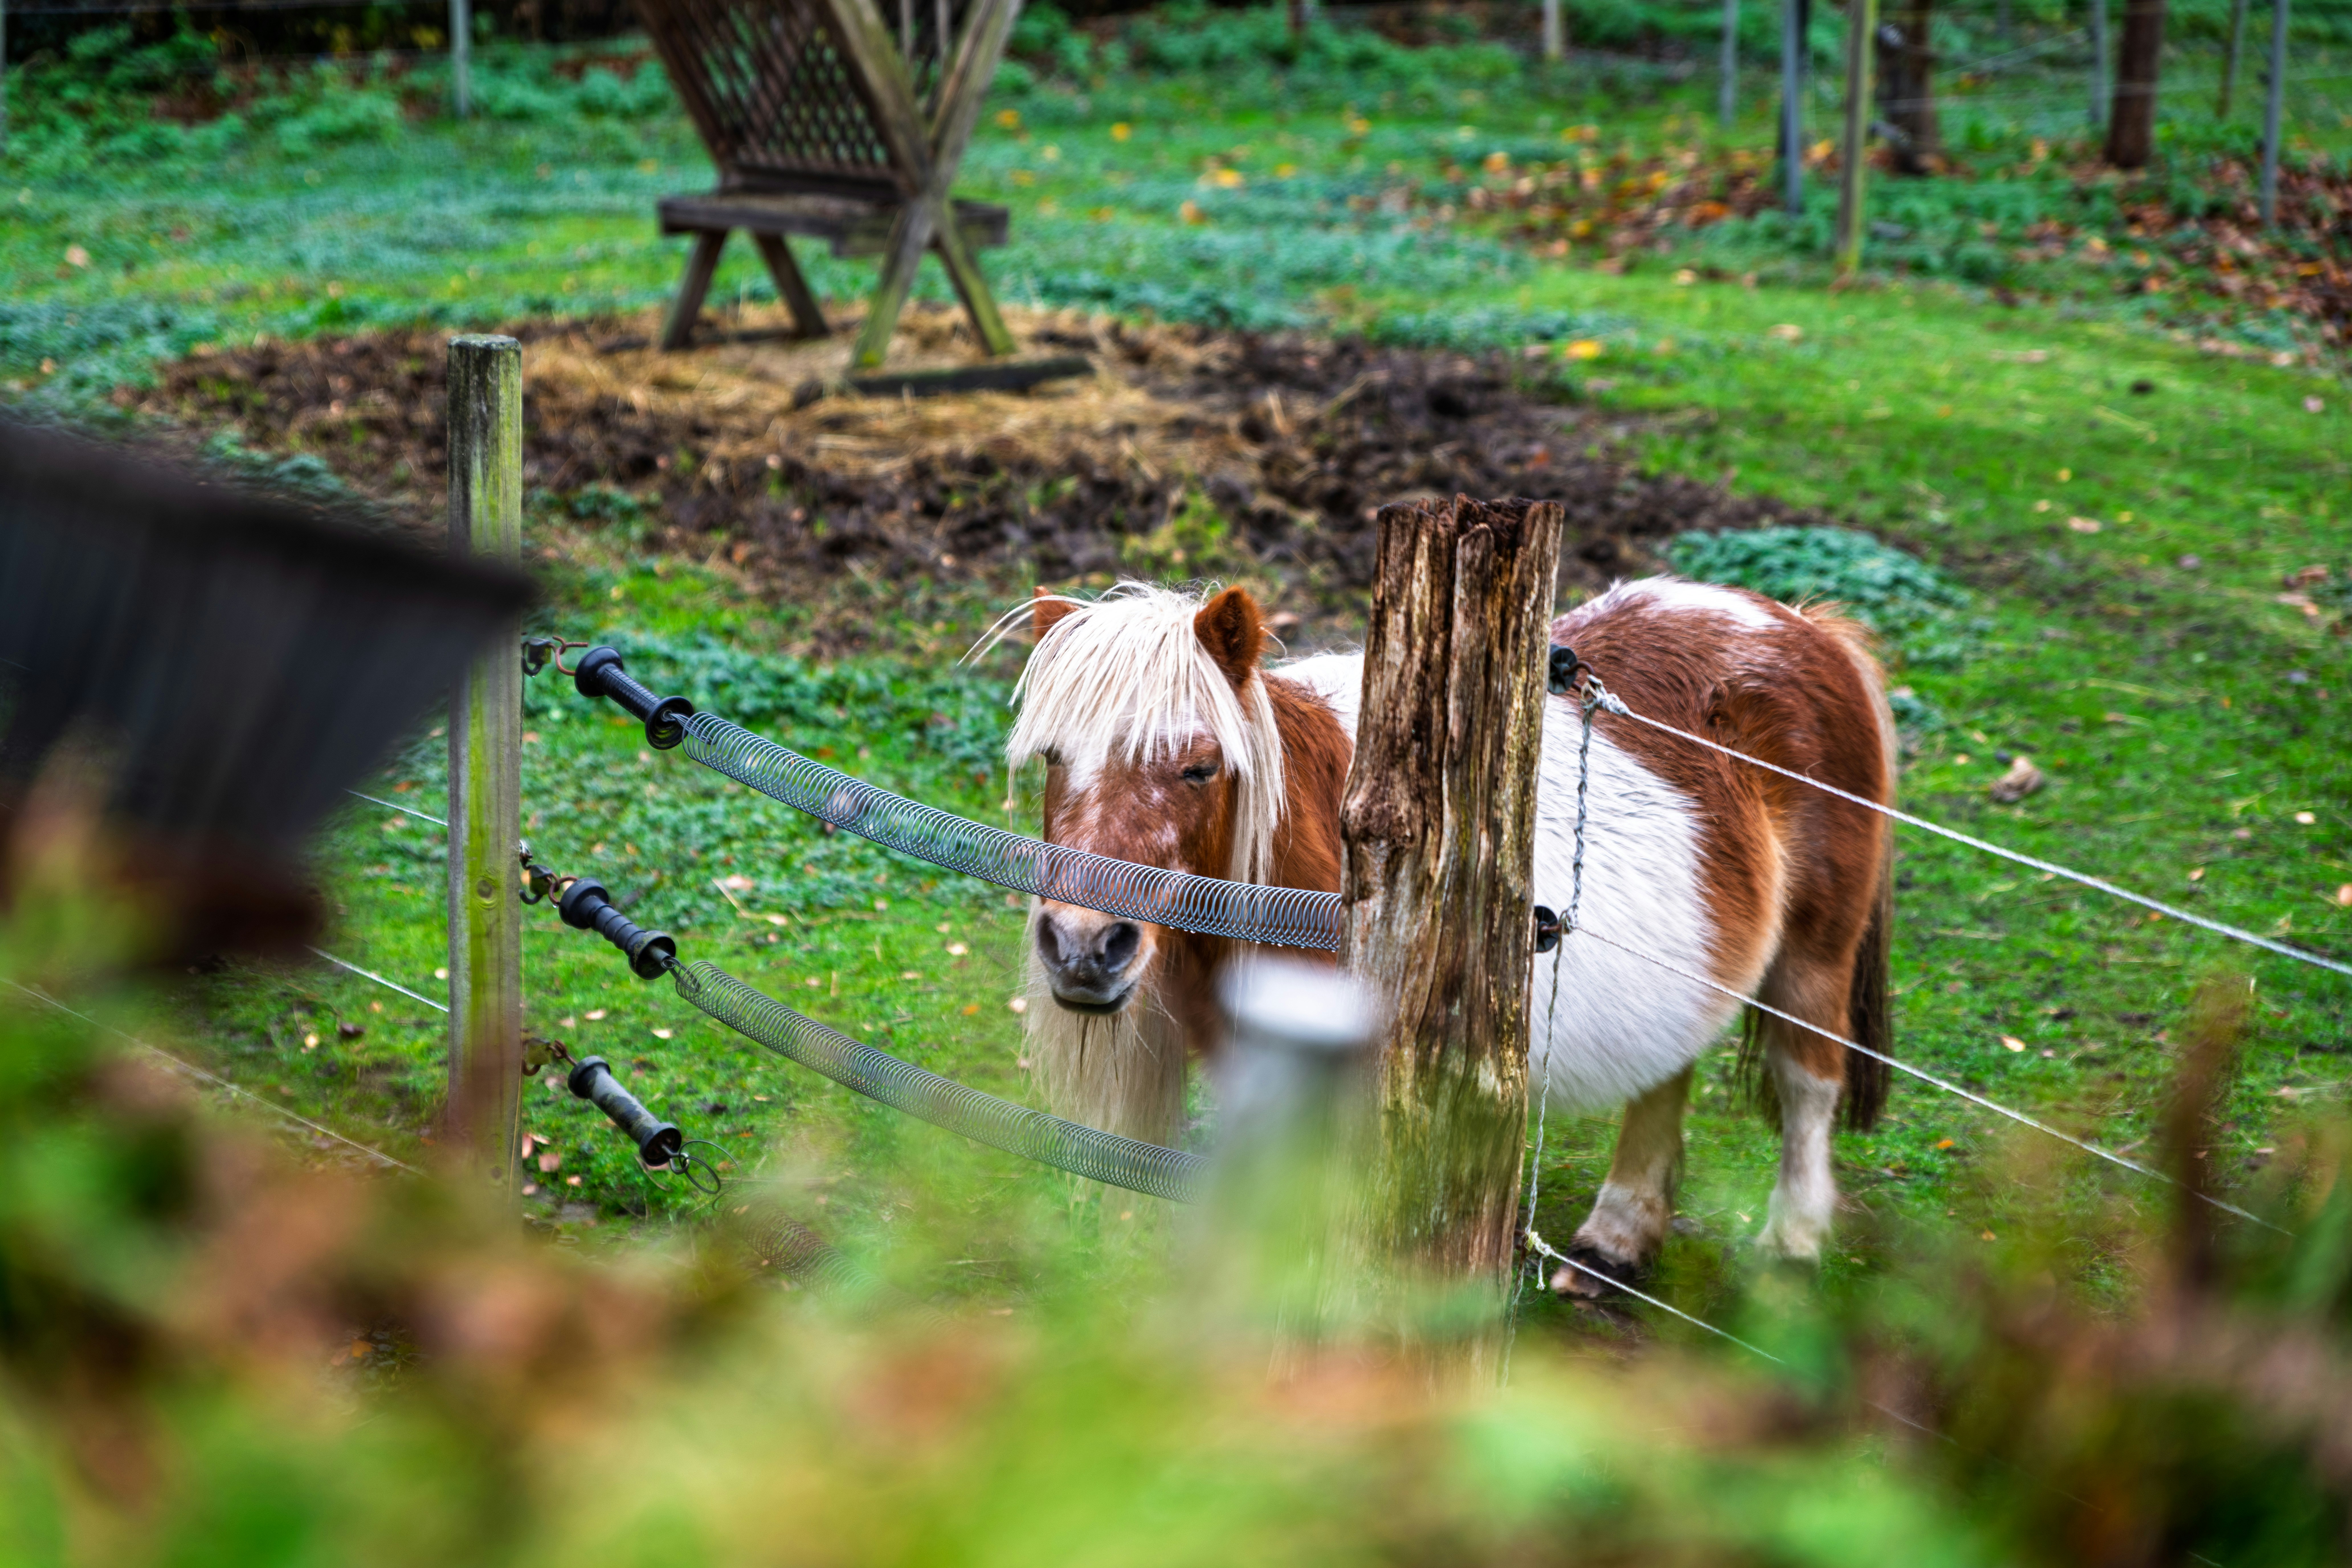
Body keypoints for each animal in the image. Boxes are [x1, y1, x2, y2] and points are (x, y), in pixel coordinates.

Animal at [995, 577, 1895, 1286]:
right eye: (1052, 757)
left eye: (1201, 767)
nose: (1083, 947)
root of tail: (1801, 626)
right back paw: (1615, 1242)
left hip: (1814, 958)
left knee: (1809, 1081)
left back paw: (1790, 1247)